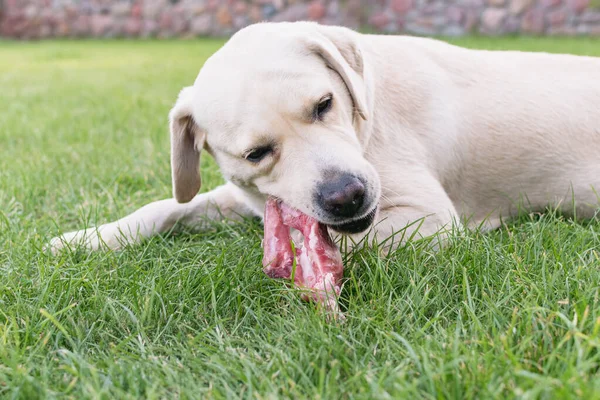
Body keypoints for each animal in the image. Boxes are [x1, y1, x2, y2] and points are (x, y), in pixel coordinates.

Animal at [47, 20, 600, 255]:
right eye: (256, 153)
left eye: (324, 105)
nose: (346, 195)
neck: (364, 120)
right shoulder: (245, 195)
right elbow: (167, 207)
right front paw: (89, 238)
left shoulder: (430, 218)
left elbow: (336, 244)